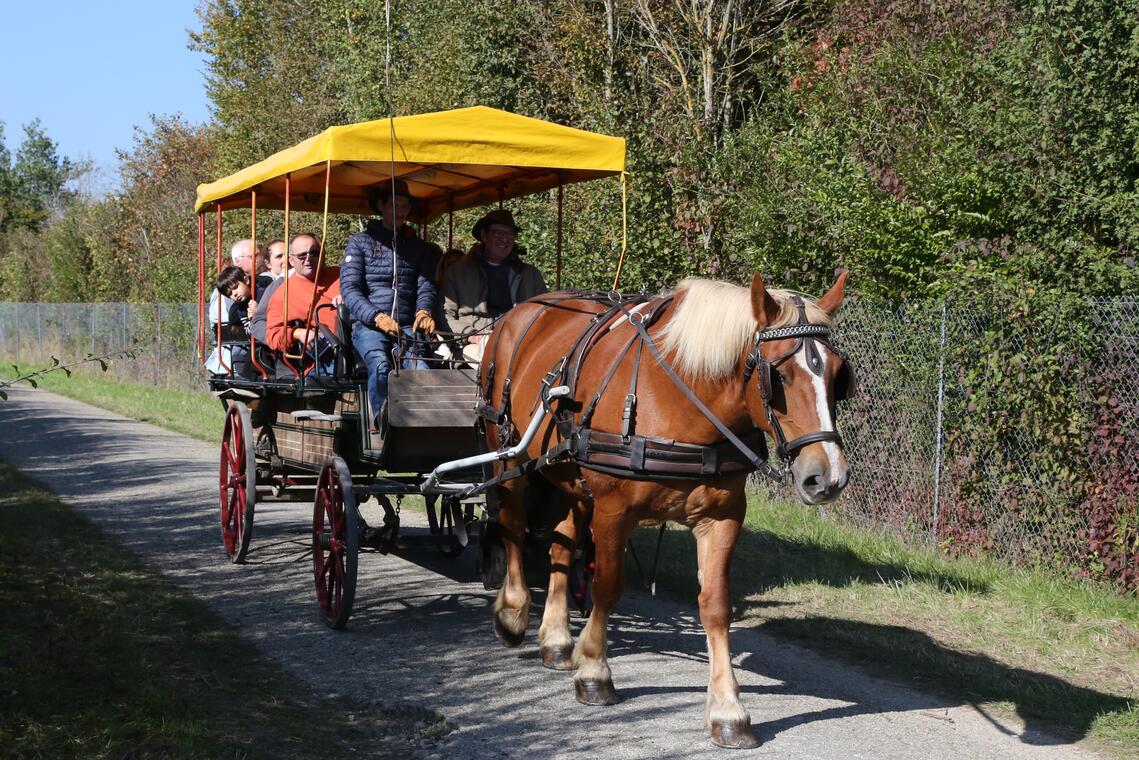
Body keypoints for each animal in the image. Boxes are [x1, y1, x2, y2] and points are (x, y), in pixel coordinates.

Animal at [476, 268, 851, 747]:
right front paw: (594, 672)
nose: (828, 477)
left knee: (561, 546)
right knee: (512, 526)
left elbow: (715, 605)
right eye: (779, 377)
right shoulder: (614, 510)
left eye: (839, 375)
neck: (682, 398)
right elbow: (608, 587)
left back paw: (557, 640)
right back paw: (512, 612)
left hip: (572, 476)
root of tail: (521, 310)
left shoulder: (722, 516)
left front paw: (728, 709)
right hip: (509, 456)